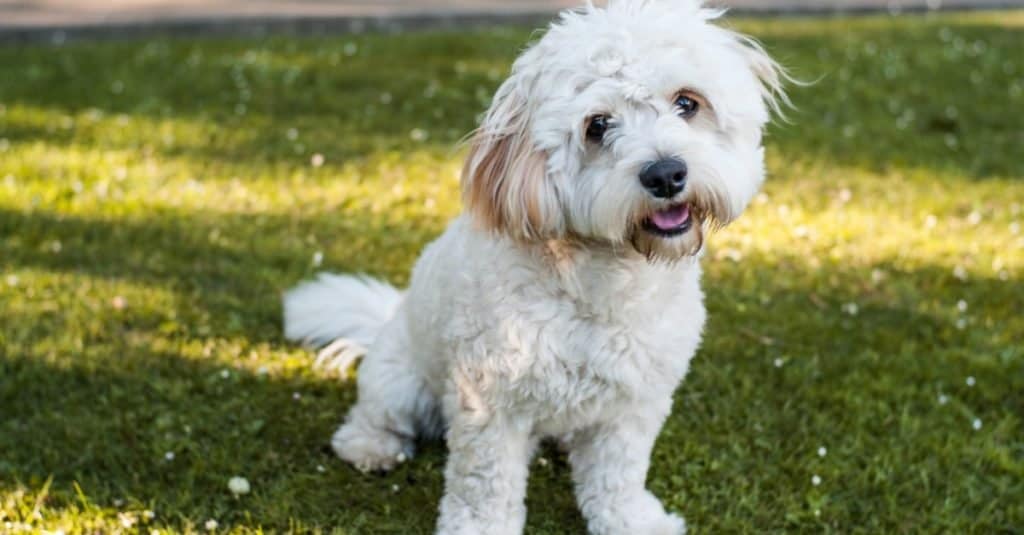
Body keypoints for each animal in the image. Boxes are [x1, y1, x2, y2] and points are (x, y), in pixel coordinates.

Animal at [284, 2, 786, 528]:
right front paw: (478, 528)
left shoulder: (635, 401)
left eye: (688, 103)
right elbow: (485, 484)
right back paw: (370, 446)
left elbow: (619, 474)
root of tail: (389, 317)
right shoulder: (488, 404)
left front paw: (630, 520)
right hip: (400, 380)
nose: (666, 174)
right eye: (597, 125)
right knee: (375, 416)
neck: (603, 283)